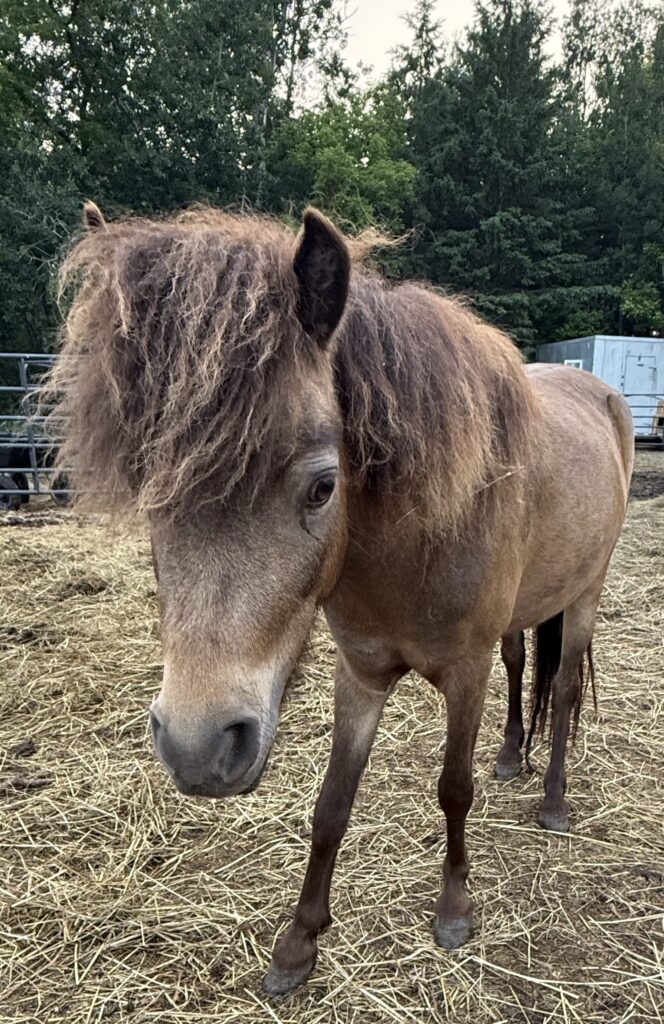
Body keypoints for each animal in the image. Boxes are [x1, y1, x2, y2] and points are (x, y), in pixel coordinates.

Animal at [49, 202, 634, 995]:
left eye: (324, 485)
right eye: (149, 488)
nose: (199, 746)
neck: (414, 543)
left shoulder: (465, 672)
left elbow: (453, 788)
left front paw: (454, 912)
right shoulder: (359, 672)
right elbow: (331, 805)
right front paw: (299, 942)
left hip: (584, 596)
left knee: (566, 686)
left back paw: (552, 800)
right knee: (523, 667)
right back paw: (513, 755)